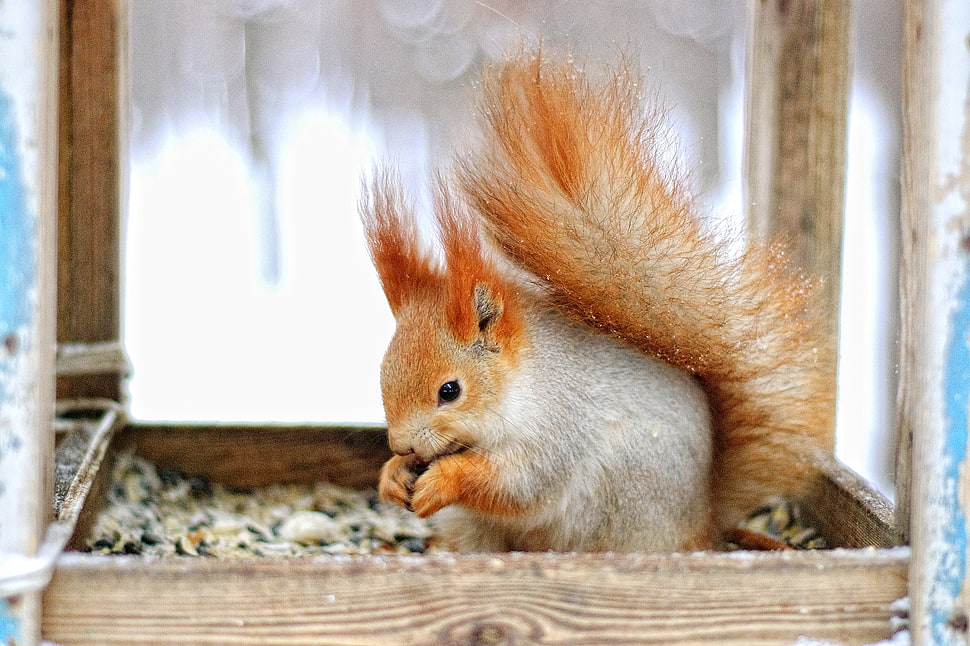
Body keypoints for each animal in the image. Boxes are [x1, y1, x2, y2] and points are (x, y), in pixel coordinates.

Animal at [359, 51, 835, 552]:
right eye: (383, 375)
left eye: (450, 391)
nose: (403, 446)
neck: (522, 382)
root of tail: (704, 520)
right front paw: (392, 475)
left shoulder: (560, 426)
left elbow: (520, 483)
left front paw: (443, 480)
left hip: (621, 501)